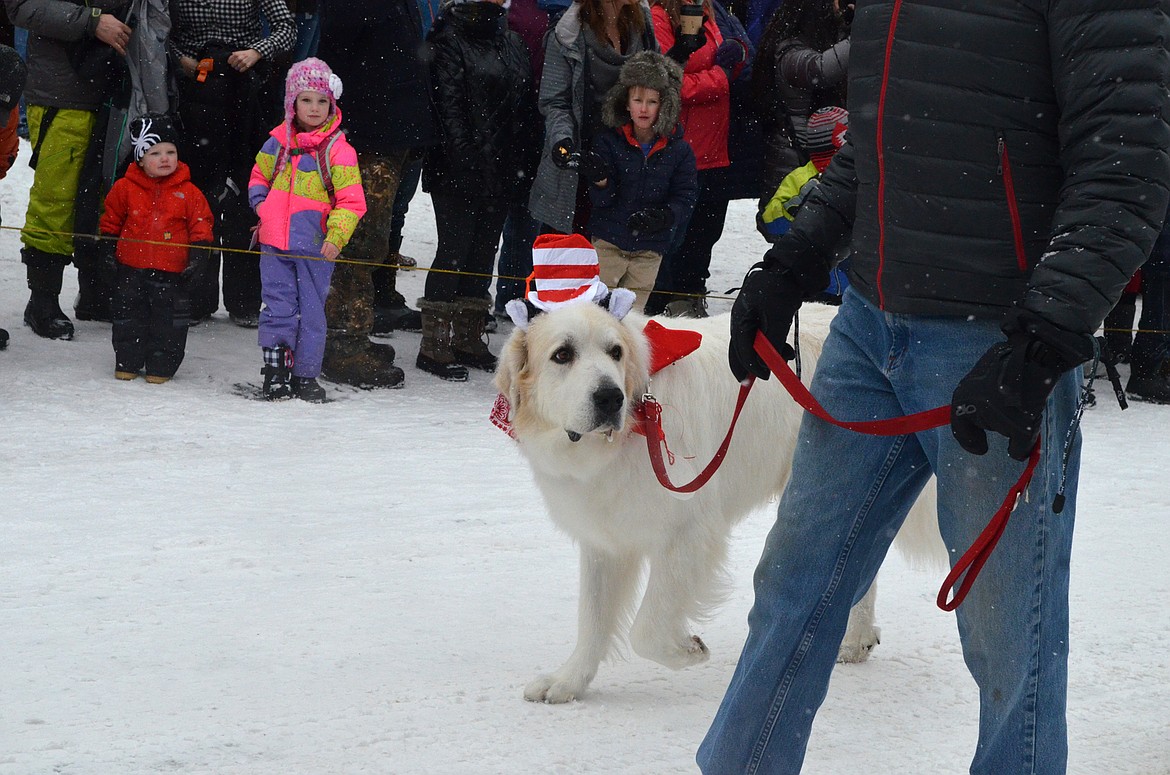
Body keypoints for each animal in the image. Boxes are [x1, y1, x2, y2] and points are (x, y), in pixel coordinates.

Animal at [493, 302, 940, 702]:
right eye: (562, 355)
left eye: (615, 352)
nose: (610, 398)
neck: (637, 421)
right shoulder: (605, 539)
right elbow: (592, 619)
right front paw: (568, 682)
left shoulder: (688, 532)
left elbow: (646, 630)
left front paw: (687, 651)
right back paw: (855, 639)